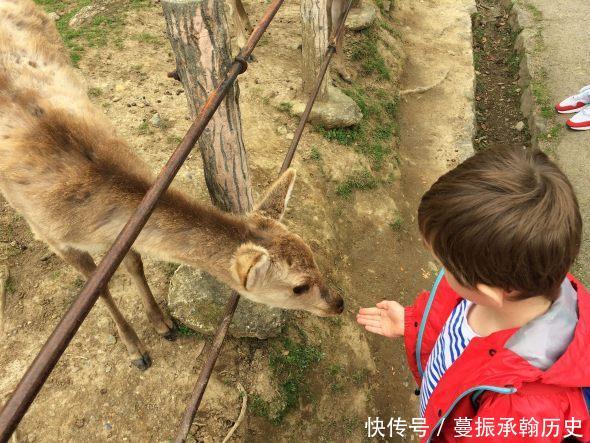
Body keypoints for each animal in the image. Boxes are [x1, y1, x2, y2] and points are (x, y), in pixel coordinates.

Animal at [0, 0, 344, 372]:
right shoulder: (48, 233)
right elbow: (99, 289)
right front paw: (136, 350)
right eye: (299, 287)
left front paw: (163, 323)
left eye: (312, 254)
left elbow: (134, 263)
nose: (338, 302)